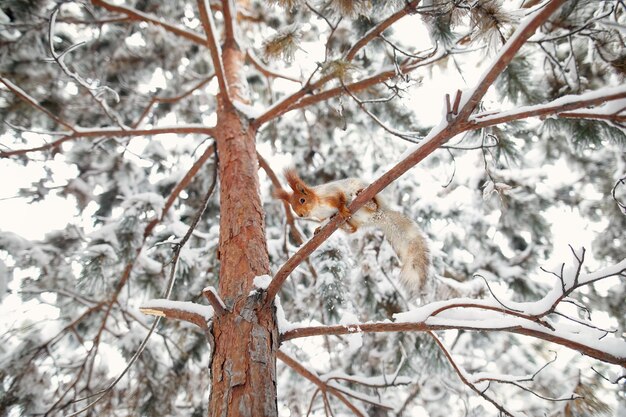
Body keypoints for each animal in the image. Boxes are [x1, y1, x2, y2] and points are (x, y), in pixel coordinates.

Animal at [276, 167, 428, 294]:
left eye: (302, 200)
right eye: (292, 206)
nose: (300, 215)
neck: (317, 207)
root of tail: (379, 215)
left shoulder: (331, 193)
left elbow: (340, 199)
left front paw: (342, 209)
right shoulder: (323, 217)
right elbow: (325, 221)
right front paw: (319, 228)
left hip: (366, 195)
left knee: (372, 205)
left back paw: (367, 202)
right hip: (356, 220)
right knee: (354, 229)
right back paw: (344, 225)